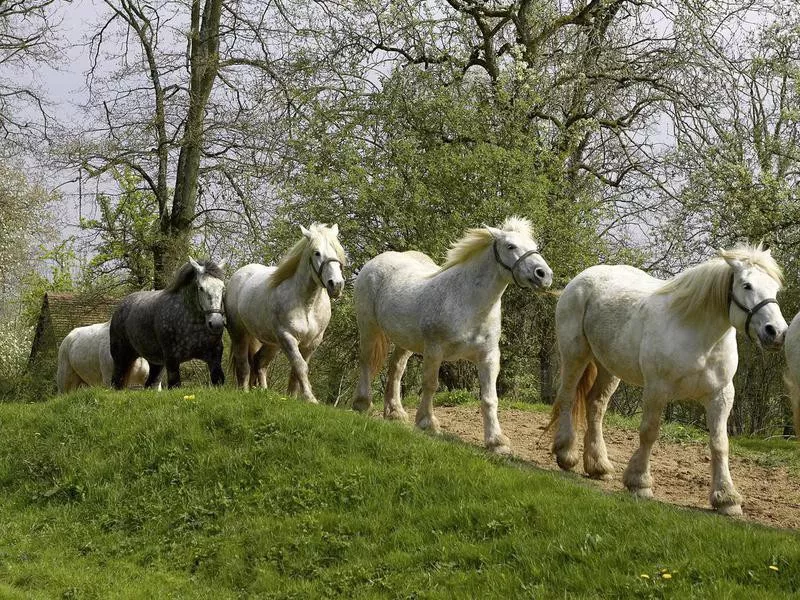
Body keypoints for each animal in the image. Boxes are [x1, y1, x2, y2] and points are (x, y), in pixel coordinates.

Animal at [108, 258, 227, 390]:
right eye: (201, 288)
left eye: (222, 288)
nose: (216, 323)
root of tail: (120, 308)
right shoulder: (172, 358)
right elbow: (175, 384)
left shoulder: (214, 356)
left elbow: (218, 379)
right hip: (121, 358)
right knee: (116, 382)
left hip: (156, 363)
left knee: (150, 384)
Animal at [228, 223, 346, 400]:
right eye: (316, 252)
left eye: (337, 251)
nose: (336, 285)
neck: (307, 305)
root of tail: (237, 276)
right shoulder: (288, 338)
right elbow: (300, 366)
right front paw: (310, 399)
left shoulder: (311, 343)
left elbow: (296, 371)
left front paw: (292, 397)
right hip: (239, 334)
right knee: (244, 364)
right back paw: (244, 391)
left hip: (272, 342)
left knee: (259, 362)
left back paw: (263, 392)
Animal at [354, 218, 552, 452]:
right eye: (510, 246)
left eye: (534, 246)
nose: (544, 274)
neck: (468, 303)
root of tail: (376, 261)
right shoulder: (434, 350)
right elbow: (430, 385)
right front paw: (427, 423)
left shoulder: (489, 357)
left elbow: (490, 398)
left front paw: (497, 441)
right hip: (368, 326)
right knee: (366, 361)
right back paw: (362, 404)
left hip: (405, 341)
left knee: (396, 369)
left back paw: (395, 413)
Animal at [552, 245, 788, 516]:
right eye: (747, 285)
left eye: (775, 288)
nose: (777, 333)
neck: (699, 337)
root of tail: (581, 278)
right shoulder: (657, 390)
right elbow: (649, 432)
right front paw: (640, 483)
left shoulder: (720, 396)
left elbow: (720, 444)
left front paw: (727, 499)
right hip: (575, 354)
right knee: (567, 398)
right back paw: (566, 454)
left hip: (608, 367)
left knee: (595, 407)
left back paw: (599, 466)